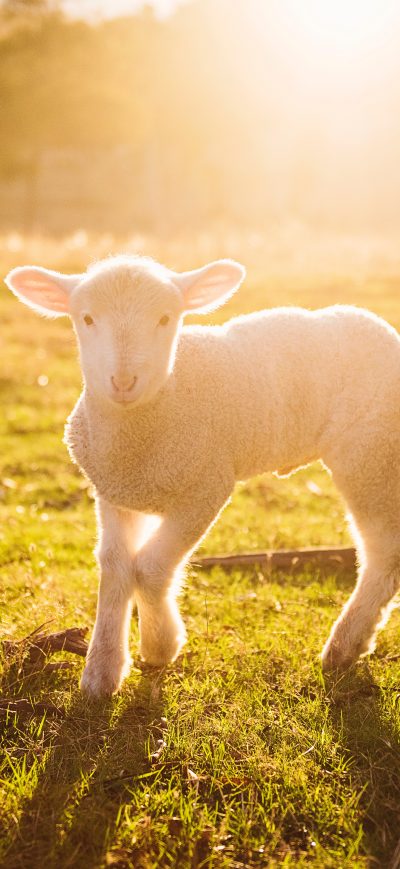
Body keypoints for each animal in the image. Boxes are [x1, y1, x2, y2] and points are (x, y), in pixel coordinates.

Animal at [5, 254, 400, 697]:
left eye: (165, 318)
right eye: (86, 318)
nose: (123, 382)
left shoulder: (205, 487)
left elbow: (150, 567)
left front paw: (160, 645)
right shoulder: (114, 491)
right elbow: (114, 565)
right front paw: (101, 672)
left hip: (369, 455)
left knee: (383, 555)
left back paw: (345, 645)